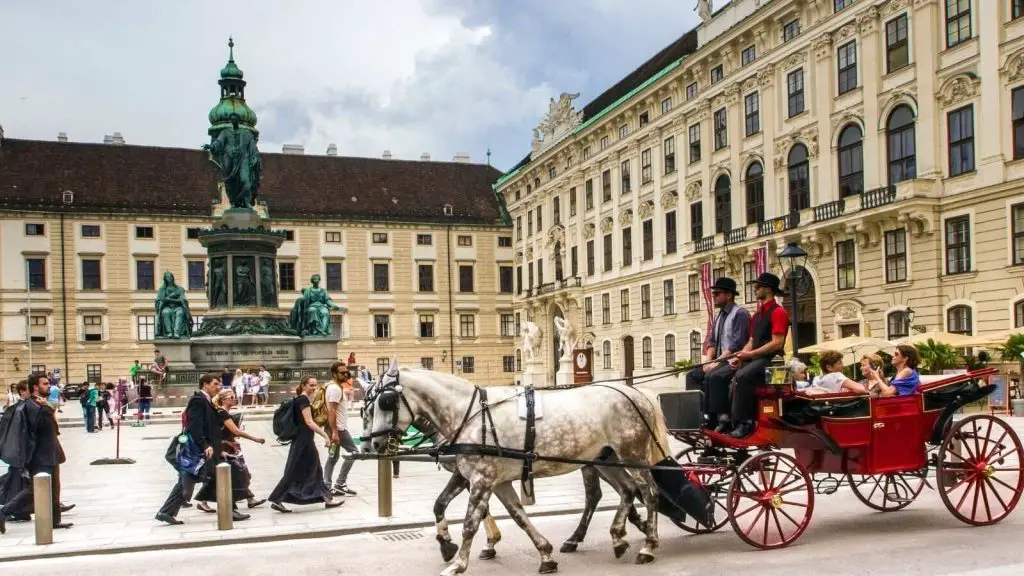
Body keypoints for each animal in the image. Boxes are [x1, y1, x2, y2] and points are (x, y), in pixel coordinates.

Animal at [368, 362, 671, 573]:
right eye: (368, 407)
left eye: (386, 402)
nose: (374, 443)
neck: (470, 415)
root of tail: (634, 392)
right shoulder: (491, 480)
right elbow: (516, 516)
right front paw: (545, 554)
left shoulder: (482, 479)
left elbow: (469, 524)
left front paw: (458, 563)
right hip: (605, 459)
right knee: (626, 490)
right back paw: (617, 536)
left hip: (632, 455)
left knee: (649, 493)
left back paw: (648, 544)